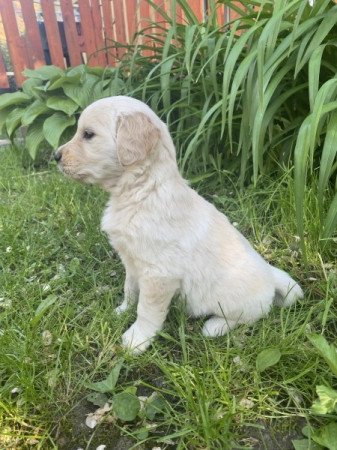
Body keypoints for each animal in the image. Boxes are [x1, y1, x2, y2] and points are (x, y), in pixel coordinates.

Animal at [55, 96, 302, 356]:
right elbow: (130, 289)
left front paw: (136, 340)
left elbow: (147, 310)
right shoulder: (132, 262)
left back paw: (215, 326)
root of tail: (271, 275)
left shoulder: (159, 275)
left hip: (233, 301)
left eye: (88, 134)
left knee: (251, 316)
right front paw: (121, 311)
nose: (55, 156)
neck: (142, 192)